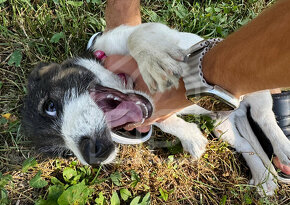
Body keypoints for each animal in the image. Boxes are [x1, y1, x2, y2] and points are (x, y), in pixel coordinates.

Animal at [22, 22, 290, 195]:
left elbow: (136, 35)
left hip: (253, 81)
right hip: (223, 124)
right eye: (65, 154)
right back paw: (264, 178)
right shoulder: (154, 115)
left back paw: (282, 148)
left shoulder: (129, 35)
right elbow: (168, 122)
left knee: (263, 116)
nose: (92, 155)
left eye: (50, 106)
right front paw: (191, 138)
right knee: (244, 143)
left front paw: (153, 59)